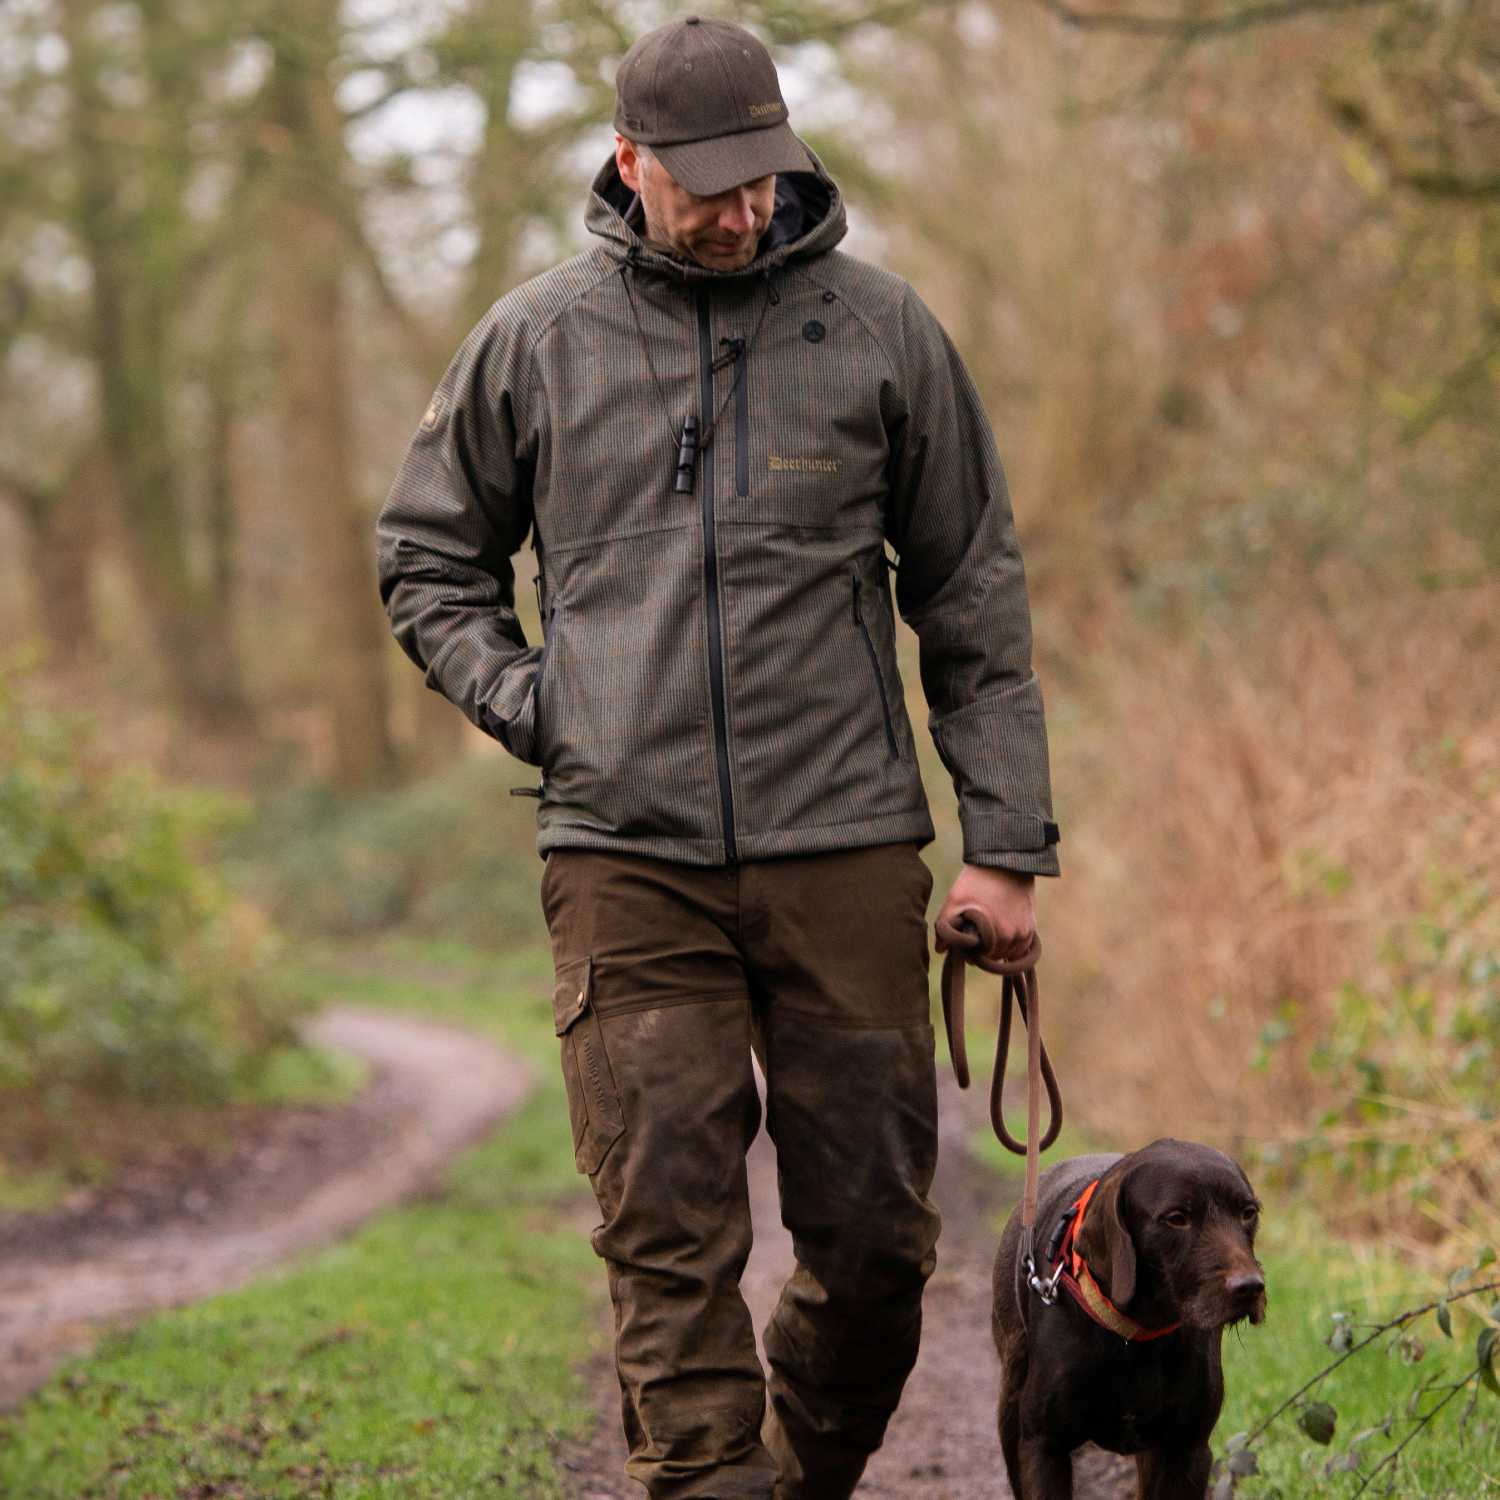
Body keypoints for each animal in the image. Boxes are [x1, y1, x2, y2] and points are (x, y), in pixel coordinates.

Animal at [996, 1140, 1266, 1494]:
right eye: (1176, 1218)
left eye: (1248, 1213)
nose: (1250, 1287)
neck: (1134, 1337)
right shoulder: (1044, 1446)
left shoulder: (1186, 1452)